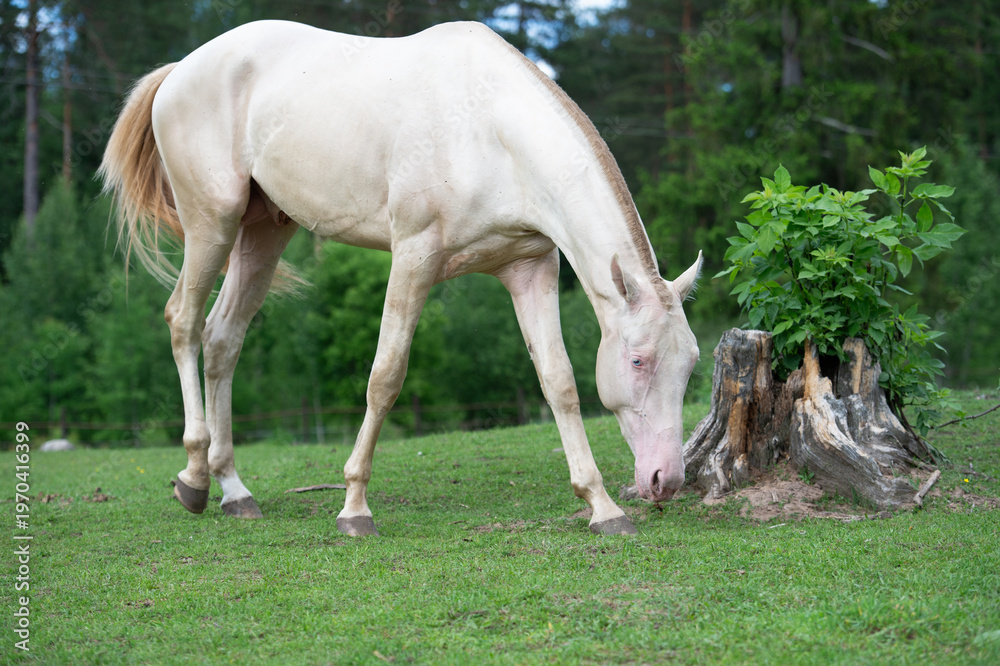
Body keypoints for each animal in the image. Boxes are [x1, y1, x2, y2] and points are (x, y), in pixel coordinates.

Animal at [99, 20, 702, 536]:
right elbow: (385, 377)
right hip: (213, 223)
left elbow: (559, 382)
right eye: (638, 362)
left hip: (263, 232)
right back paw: (194, 478)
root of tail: (179, 70)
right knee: (184, 322)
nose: (666, 480)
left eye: (692, 364)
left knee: (223, 340)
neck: (489, 128)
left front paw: (602, 507)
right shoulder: (413, 258)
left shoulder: (530, 268)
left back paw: (234, 490)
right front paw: (354, 508)